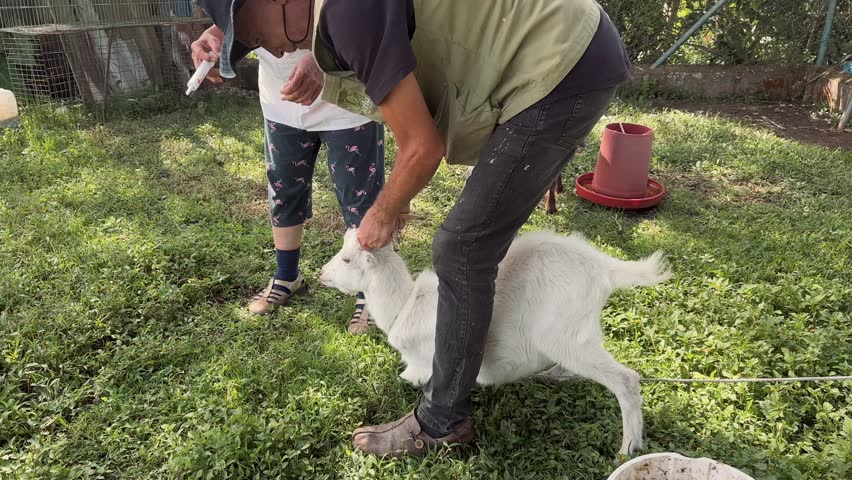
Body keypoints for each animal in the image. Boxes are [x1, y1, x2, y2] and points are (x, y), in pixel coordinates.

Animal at [319, 229, 671, 455]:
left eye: (347, 260)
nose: (322, 273)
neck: (405, 304)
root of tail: (606, 268)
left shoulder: (427, 361)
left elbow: (417, 378)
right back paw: (553, 376)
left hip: (567, 336)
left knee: (626, 379)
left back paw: (628, 448)